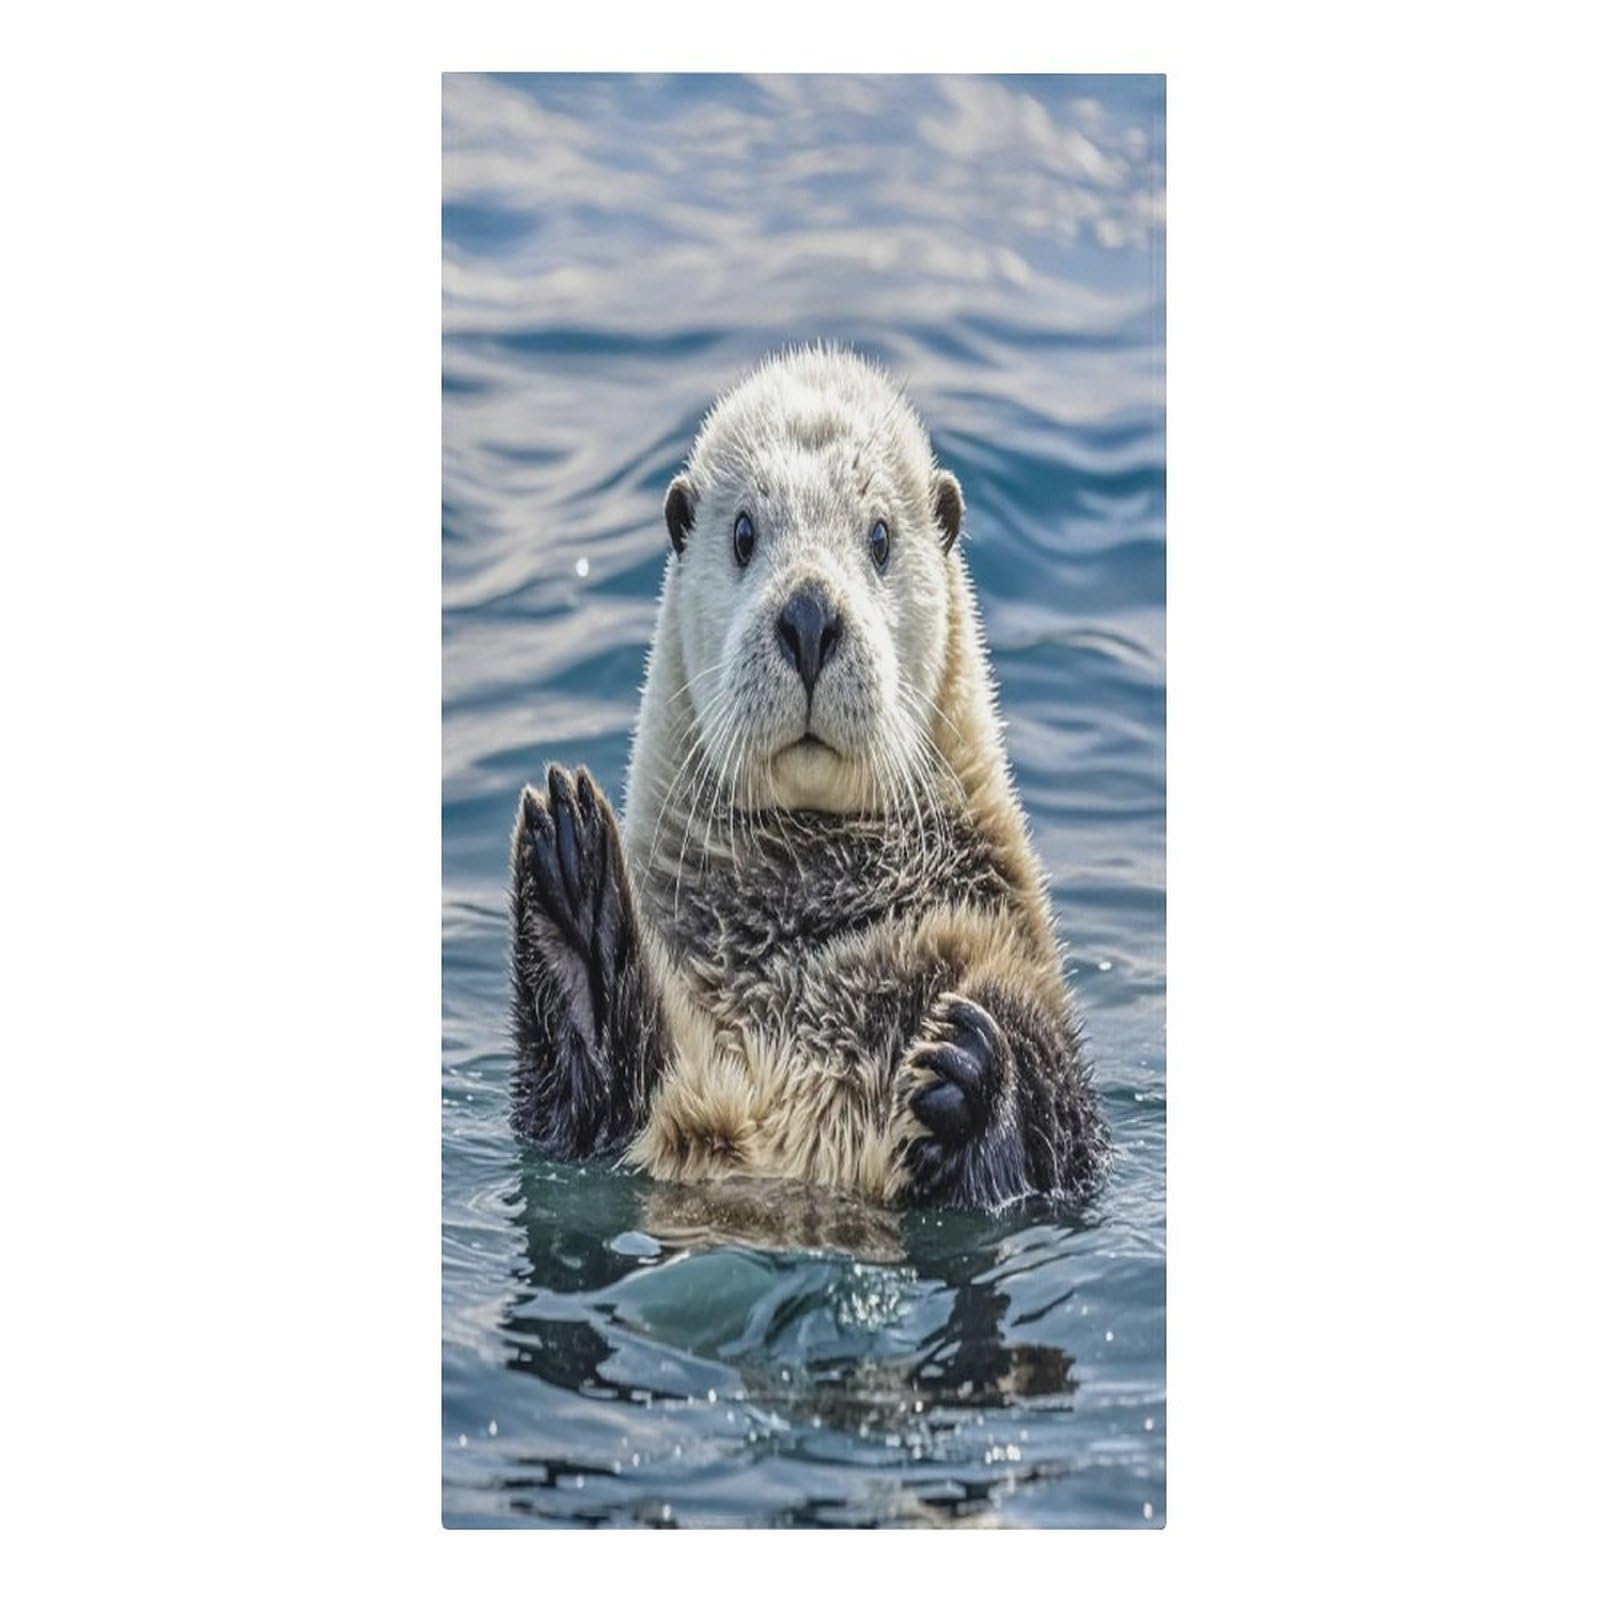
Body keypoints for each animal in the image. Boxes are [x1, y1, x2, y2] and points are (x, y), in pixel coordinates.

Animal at [509, 346, 1105, 1209]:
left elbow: (1059, 1126)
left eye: (881, 536)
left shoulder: (1013, 951)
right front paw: (571, 889)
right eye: (744, 533)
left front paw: (970, 1072)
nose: (810, 615)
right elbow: (577, 1112)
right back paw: (575, 888)